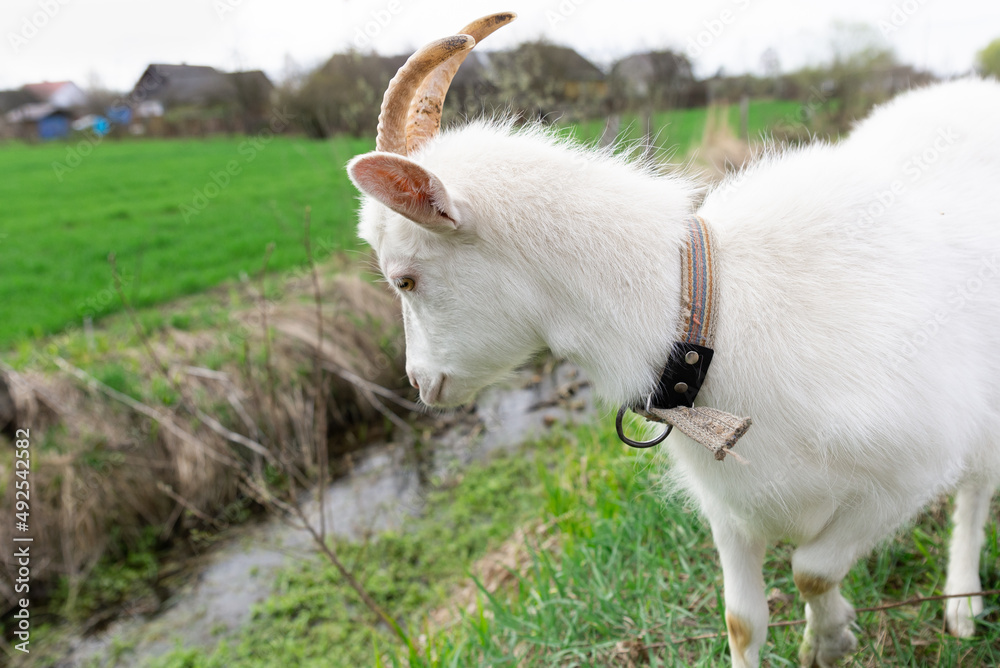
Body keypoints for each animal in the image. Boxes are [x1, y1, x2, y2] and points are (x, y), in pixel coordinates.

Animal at [347, 13, 1000, 667]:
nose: (420, 382)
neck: (713, 316)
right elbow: (743, 621)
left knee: (976, 488)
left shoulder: (908, 473)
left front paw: (830, 636)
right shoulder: (731, 504)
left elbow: (812, 568)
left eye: (404, 278)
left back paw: (962, 603)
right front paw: (825, 633)